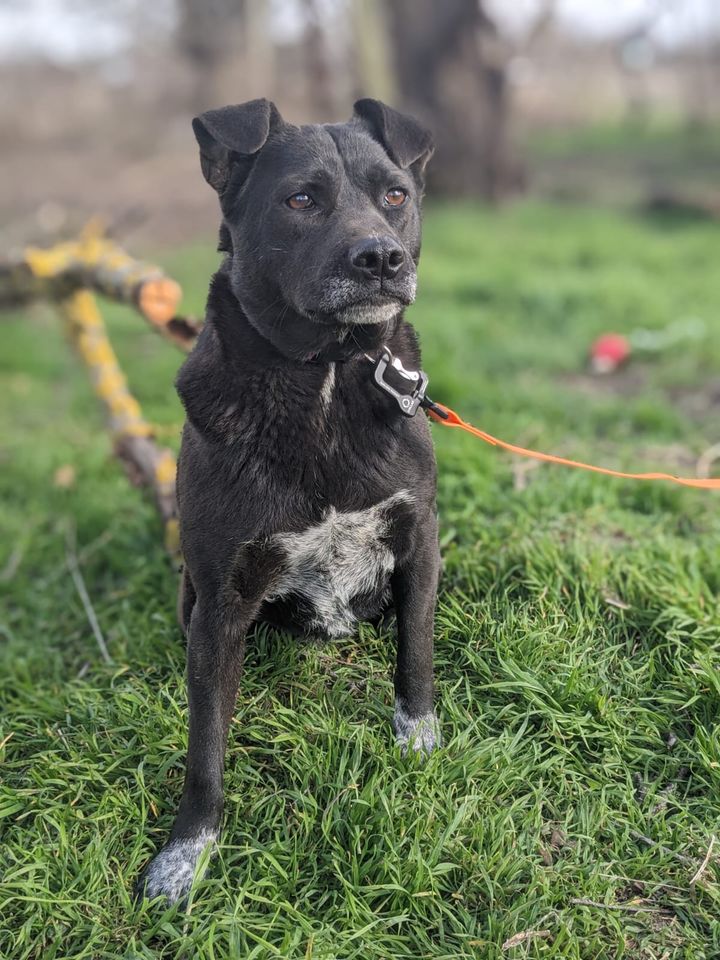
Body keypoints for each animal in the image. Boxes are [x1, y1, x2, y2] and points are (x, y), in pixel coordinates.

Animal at [136, 95, 438, 900]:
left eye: (395, 195)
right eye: (301, 200)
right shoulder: (221, 600)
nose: (381, 259)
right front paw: (186, 854)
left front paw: (418, 739)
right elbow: (205, 745)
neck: (327, 376)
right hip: (189, 598)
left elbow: (416, 653)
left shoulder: (419, 540)